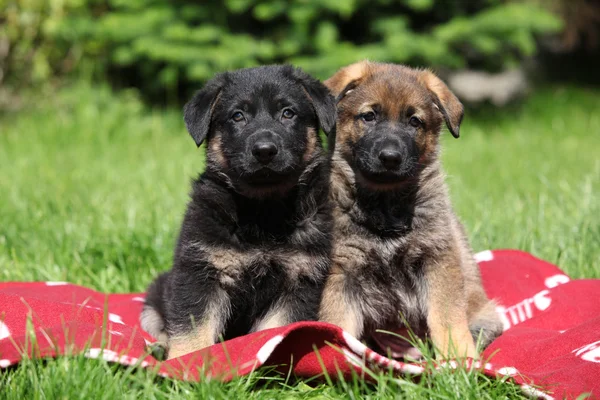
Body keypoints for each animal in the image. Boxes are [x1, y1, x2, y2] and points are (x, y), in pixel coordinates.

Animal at [141, 65, 338, 360]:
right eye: (238, 116)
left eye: (288, 113)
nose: (265, 151)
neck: (263, 211)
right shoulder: (201, 272)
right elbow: (192, 330)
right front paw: (185, 362)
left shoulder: (299, 281)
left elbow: (275, 330)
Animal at [318, 61, 502, 360]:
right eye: (369, 116)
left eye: (414, 121)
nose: (391, 157)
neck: (385, 204)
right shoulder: (341, 272)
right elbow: (338, 323)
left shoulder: (437, 260)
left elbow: (447, 319)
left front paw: (459, 360)